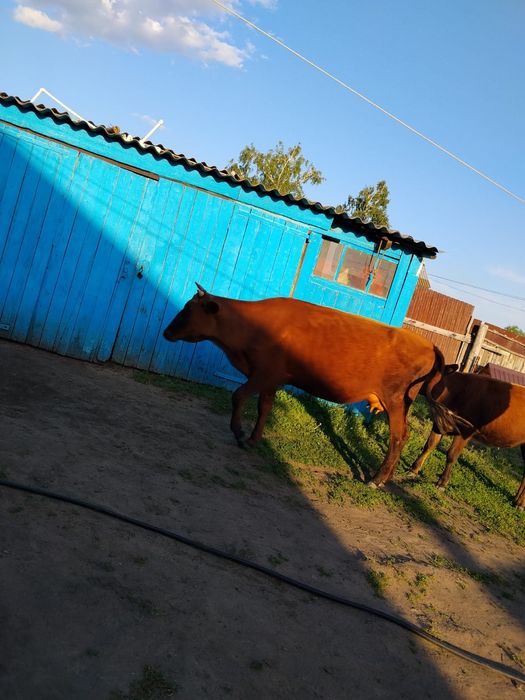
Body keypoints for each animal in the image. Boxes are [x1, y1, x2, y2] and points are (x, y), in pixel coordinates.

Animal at [163, 284, 457, 487]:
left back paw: (376, 479)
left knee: (397, 437)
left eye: (188, 309)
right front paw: (254, 439)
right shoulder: (273, 379)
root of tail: (428, 343)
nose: (166, 332)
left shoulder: (263, 374)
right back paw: (387, 478)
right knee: (403, 437)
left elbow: (238, 395)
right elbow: (264, 407)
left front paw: (238, 431)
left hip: (395, 400)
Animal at [410, 369, 525, 509]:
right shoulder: (439, 424)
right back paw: (517, 500)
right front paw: (414, 469)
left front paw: (442, 483)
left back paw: (520, 503)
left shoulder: (465, 431)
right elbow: (430, 445)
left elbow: (451, 455)